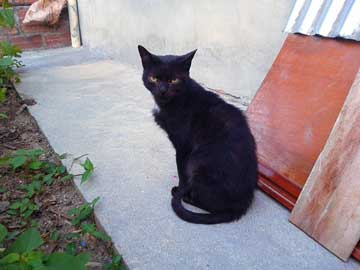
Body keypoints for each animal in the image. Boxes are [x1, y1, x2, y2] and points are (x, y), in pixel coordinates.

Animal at [136, 45, 258, 225]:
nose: (163, 90)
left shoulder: (183, 148)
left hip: (198, 161)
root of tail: (241, 207)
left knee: (212, 205)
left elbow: (182, 173)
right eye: (154, 78)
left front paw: (180, 189)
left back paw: (186, 197)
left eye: (174, 80)